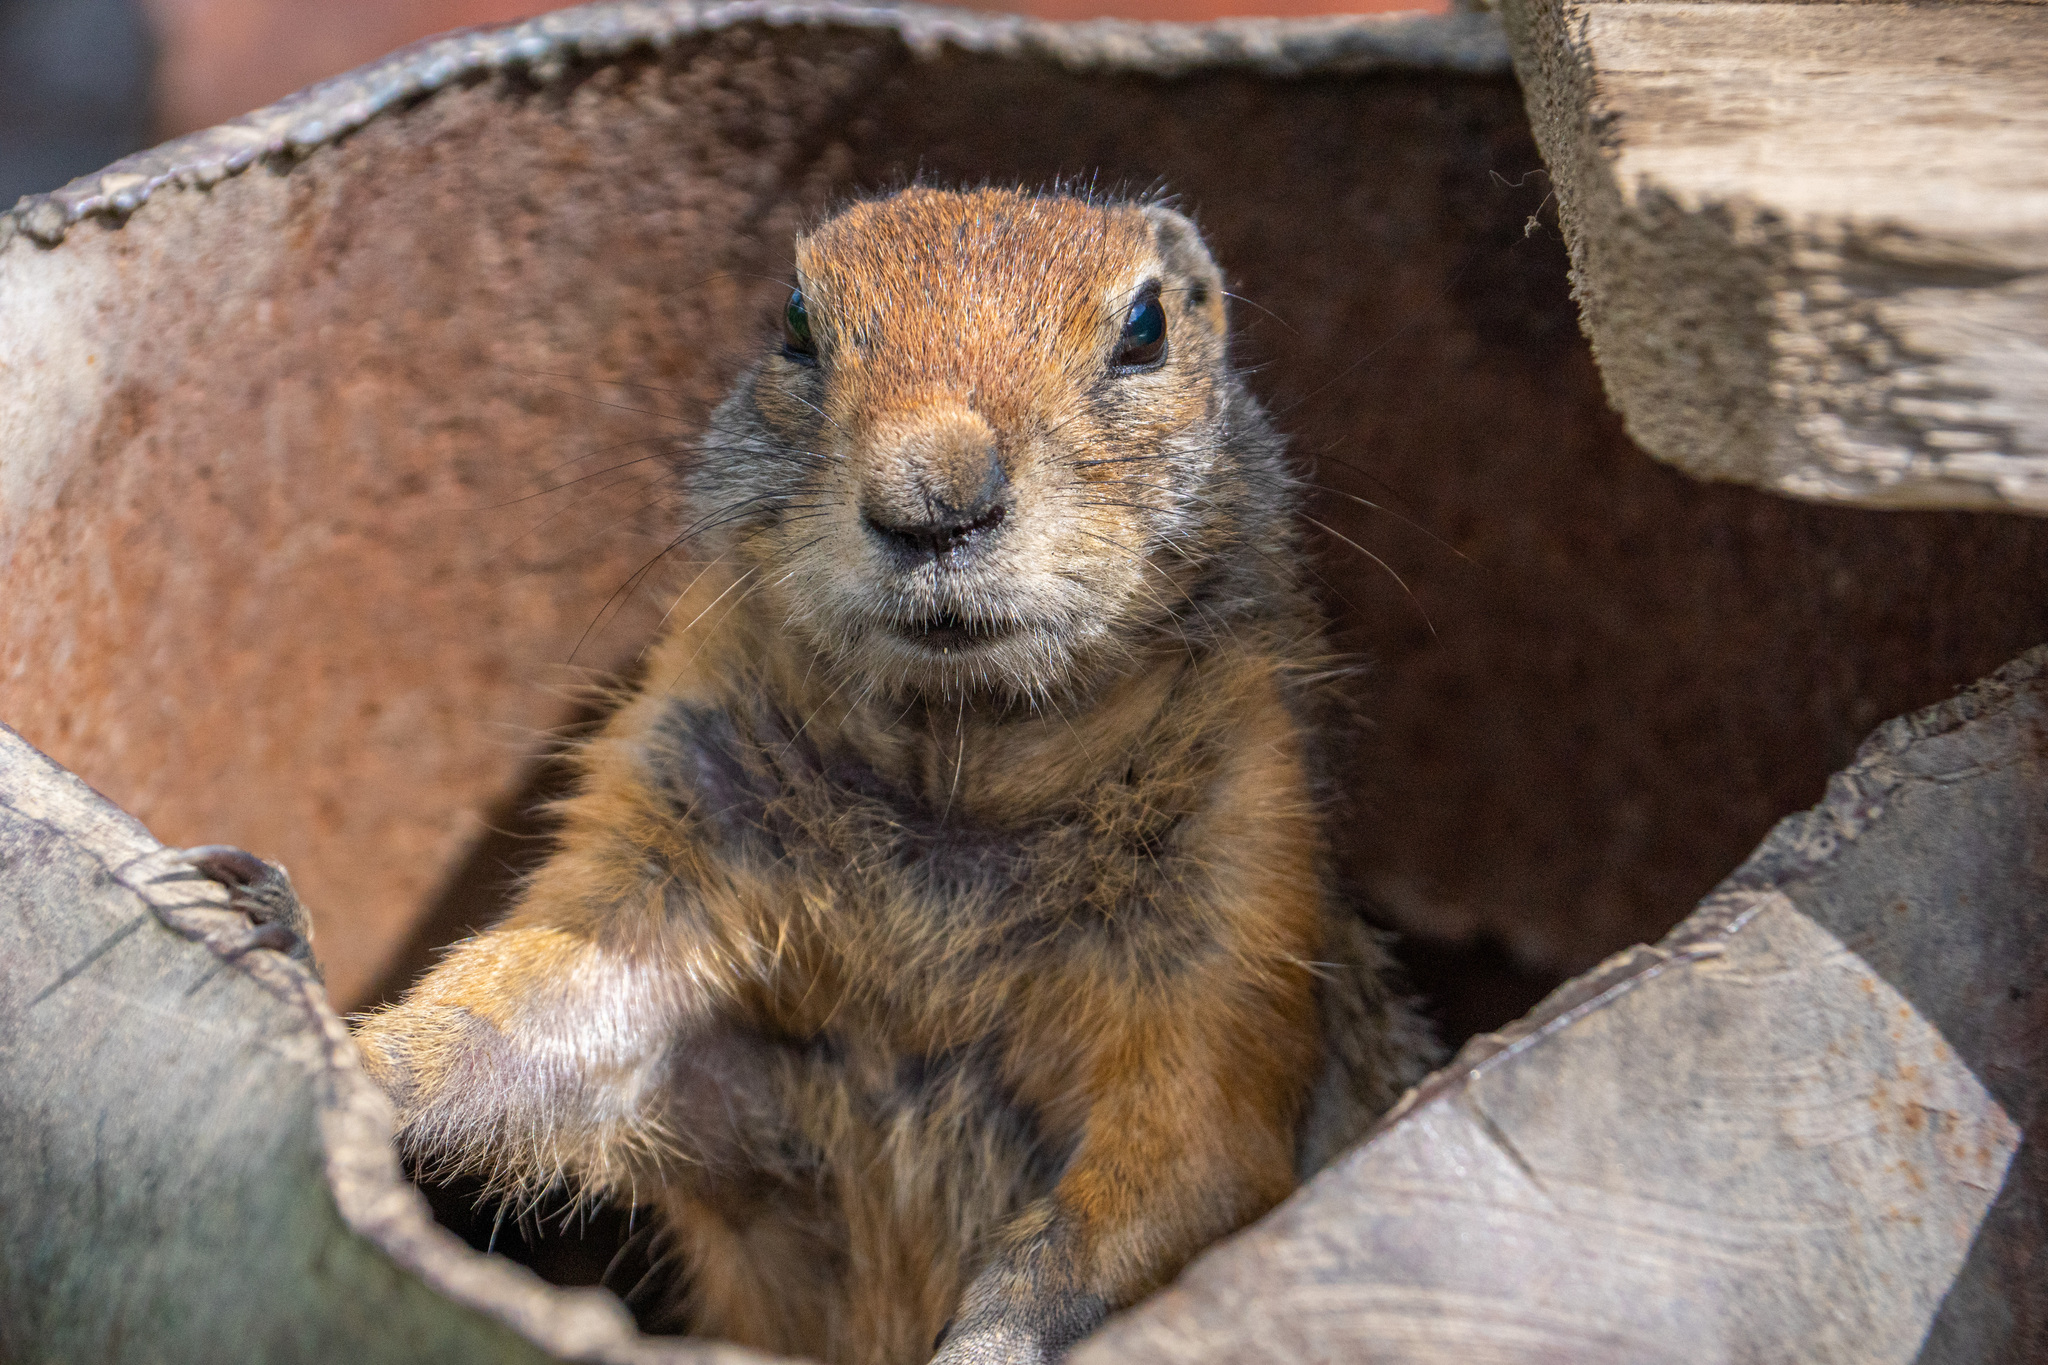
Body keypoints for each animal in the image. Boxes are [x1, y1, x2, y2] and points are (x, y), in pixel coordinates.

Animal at [199, 189, 1433, 1365]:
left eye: (1146, 328)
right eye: (795, 320)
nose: (933, 496)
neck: (956, 770)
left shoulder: (1239, 887)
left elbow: (1179, 1161)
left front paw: (993, 1341)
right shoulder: (677, 818)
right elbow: (538, 1016)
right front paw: (317, 995)